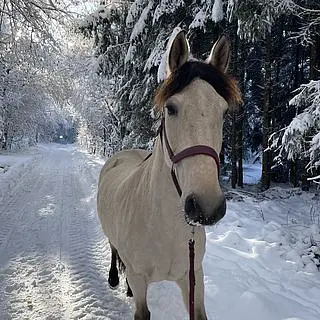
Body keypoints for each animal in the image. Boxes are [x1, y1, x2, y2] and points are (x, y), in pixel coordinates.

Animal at [97, 30, 240, 320]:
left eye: (224, 111)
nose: (206, 206)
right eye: (171, 108)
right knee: (114, 248)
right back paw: (115, 279)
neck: (164, 226)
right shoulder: (140, 279)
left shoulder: (193, 278)